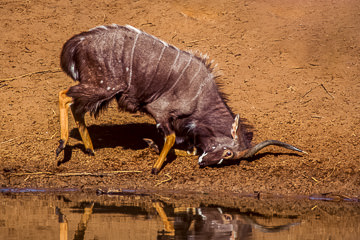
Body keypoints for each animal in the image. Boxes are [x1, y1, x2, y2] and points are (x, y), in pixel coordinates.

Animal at [56, 24, 306, 174]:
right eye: (228, 153)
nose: (205, 163)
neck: (201, 97)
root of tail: (78, 42)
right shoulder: (162, 113)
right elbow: (170, 139)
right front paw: (155, 168)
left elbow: (184, 147)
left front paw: (152, 146)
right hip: (102, 88)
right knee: (64, 95)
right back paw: (61, 146)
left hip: (98, 92)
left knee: (76, 107)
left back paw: (90, 150)